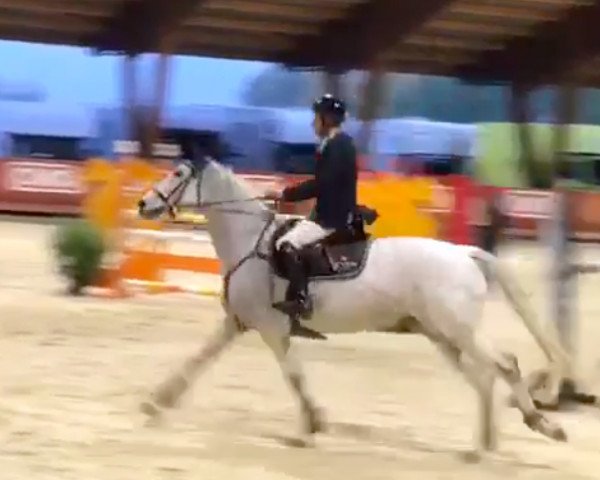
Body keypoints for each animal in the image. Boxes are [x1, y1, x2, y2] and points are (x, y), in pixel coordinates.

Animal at [135, 158, 568, 454]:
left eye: (177, 174)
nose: (142, 205)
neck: (251, 242)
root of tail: (464, 254)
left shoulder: (272, 329)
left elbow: (294, 376)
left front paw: (311, 424)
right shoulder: (239, 321)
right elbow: (199, 358)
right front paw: (158, 401)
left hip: (458, 330)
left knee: (505, 365)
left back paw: (540, 425)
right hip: (442, 335)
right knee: (484, 378)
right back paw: (484, 444)